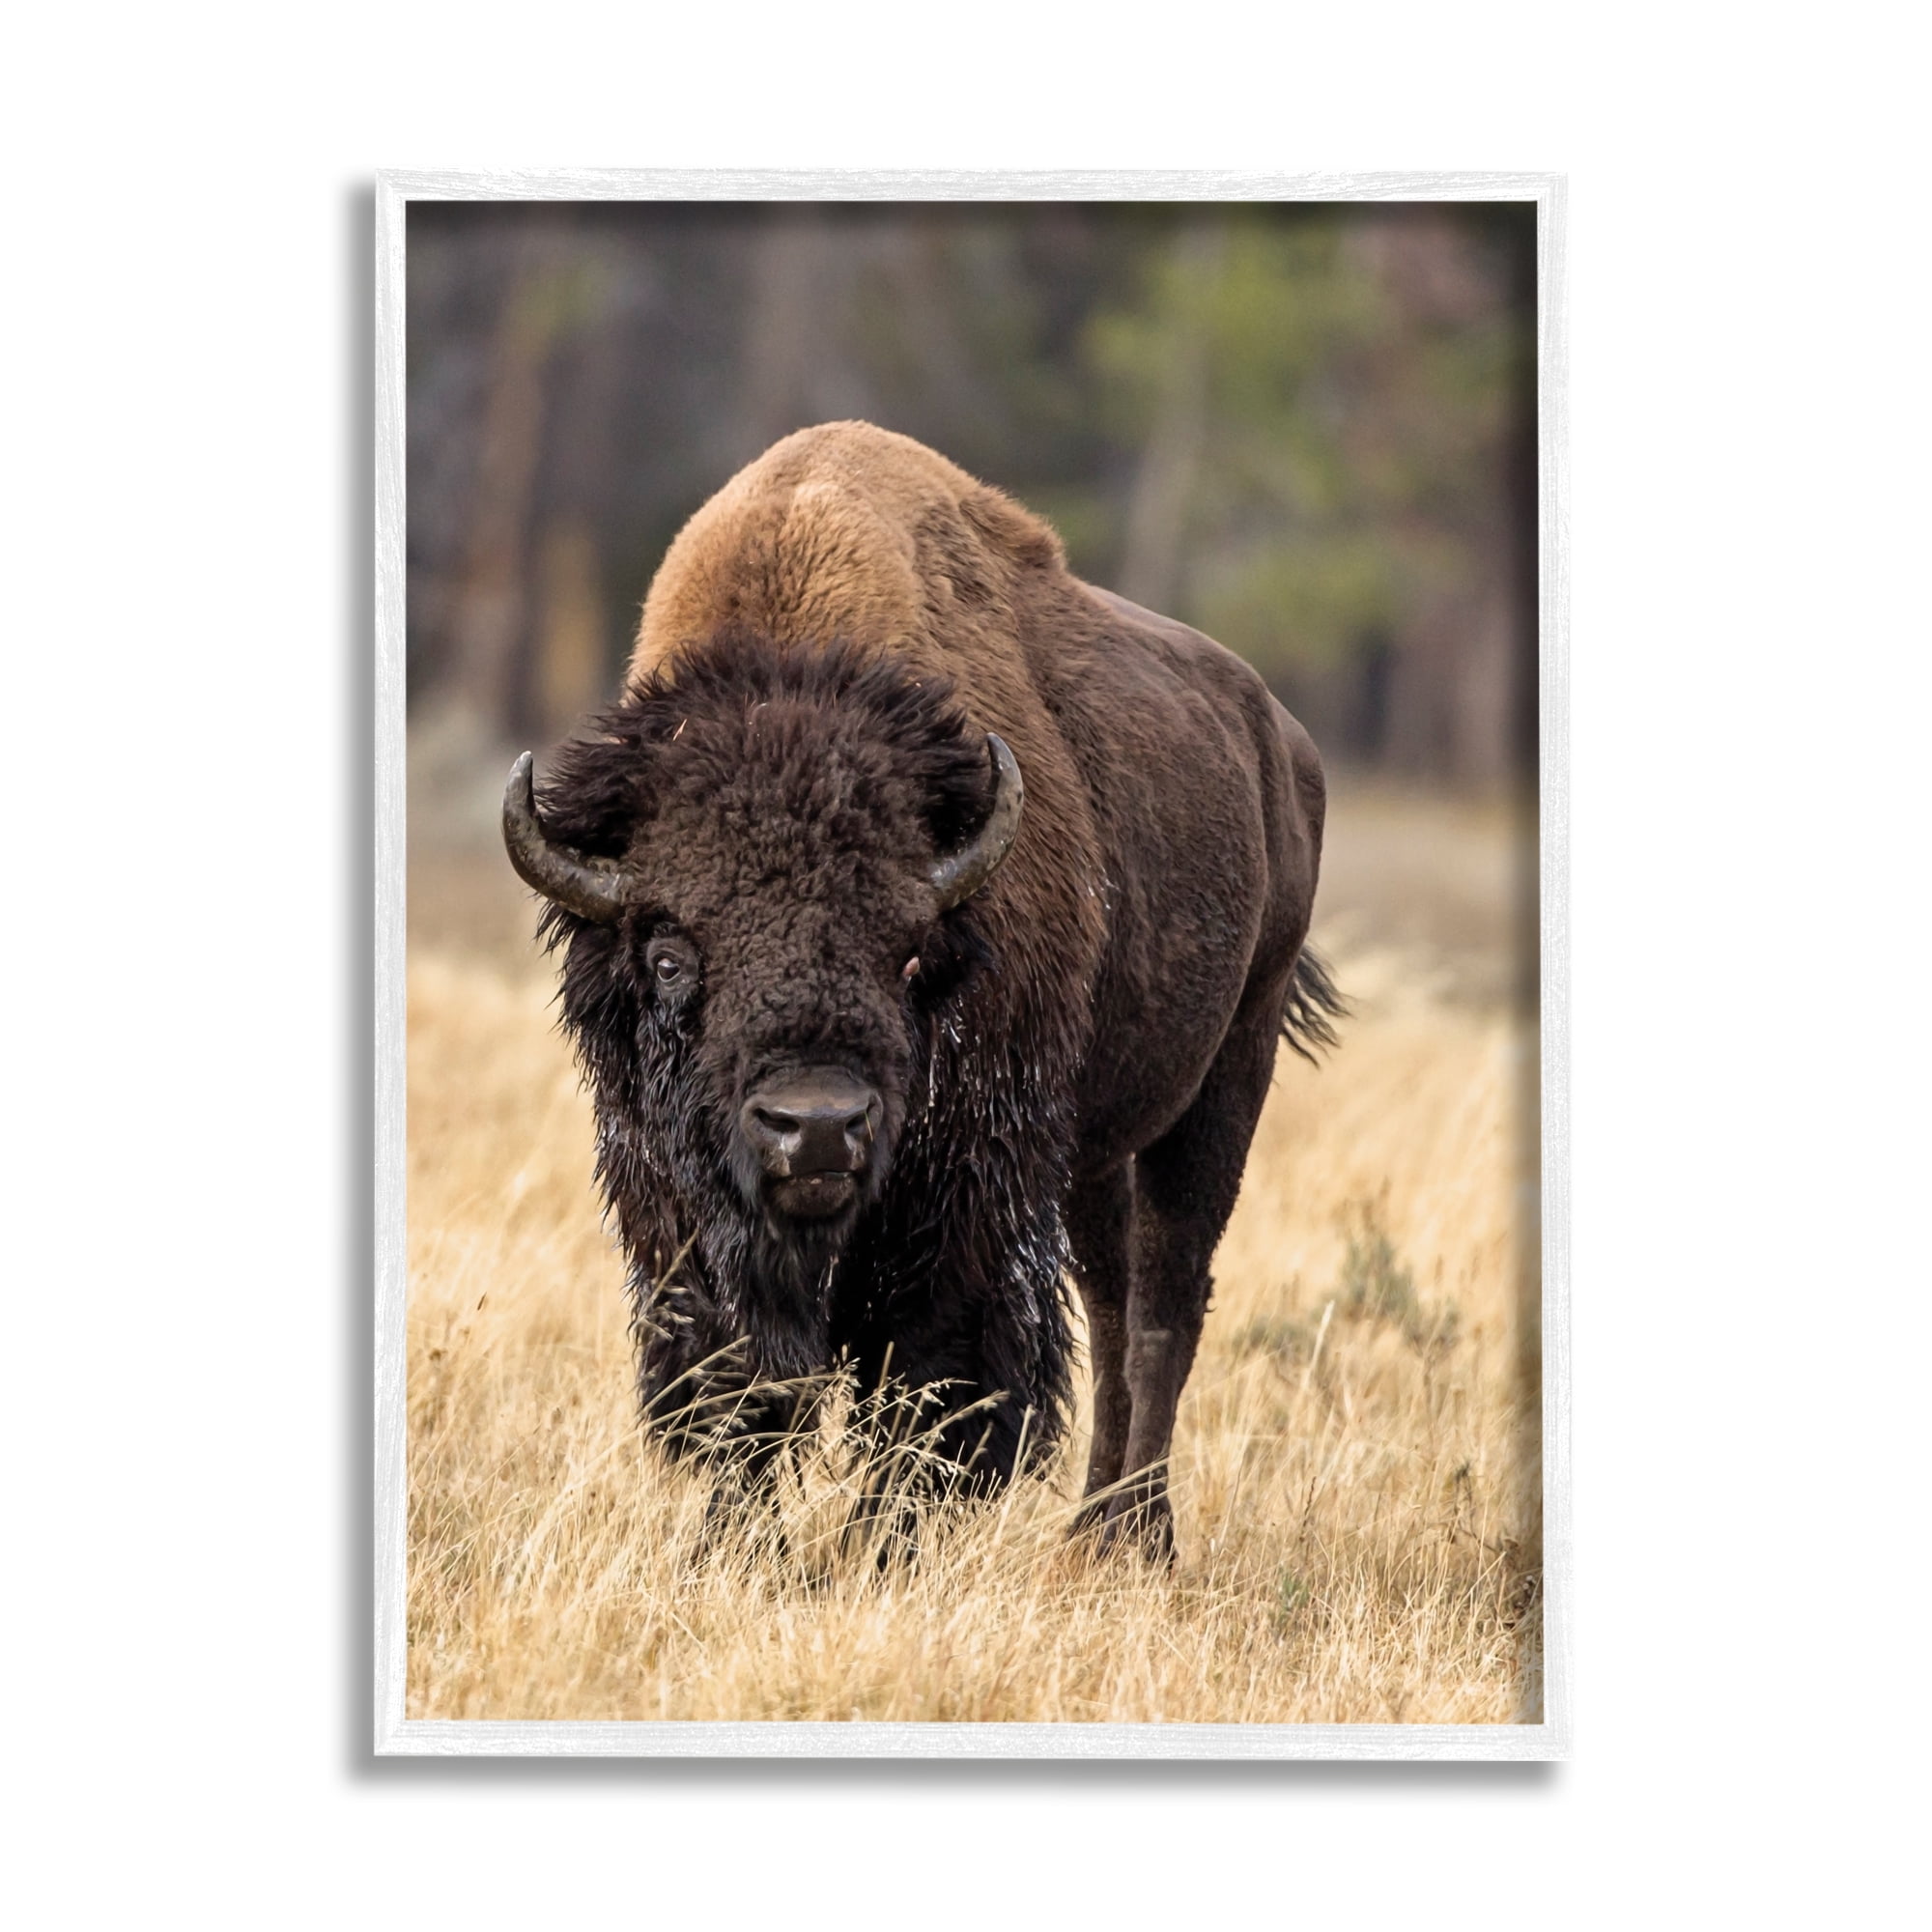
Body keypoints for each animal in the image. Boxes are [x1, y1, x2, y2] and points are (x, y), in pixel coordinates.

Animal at [504, 422, 1338, 1556]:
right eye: (670, 956)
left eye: (908, 952)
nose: (815, 1128)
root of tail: (1281, 743)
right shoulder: (675, 1201)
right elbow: (737, 1374)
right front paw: (737, 1543)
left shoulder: (968, 1194)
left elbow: (933, 1376)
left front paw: (875, 1546)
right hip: (1095, 1147)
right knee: (1112, 1298)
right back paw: (1088, 1528)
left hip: (1226, 1075)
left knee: (1168, 1299)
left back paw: (1137, 1536)